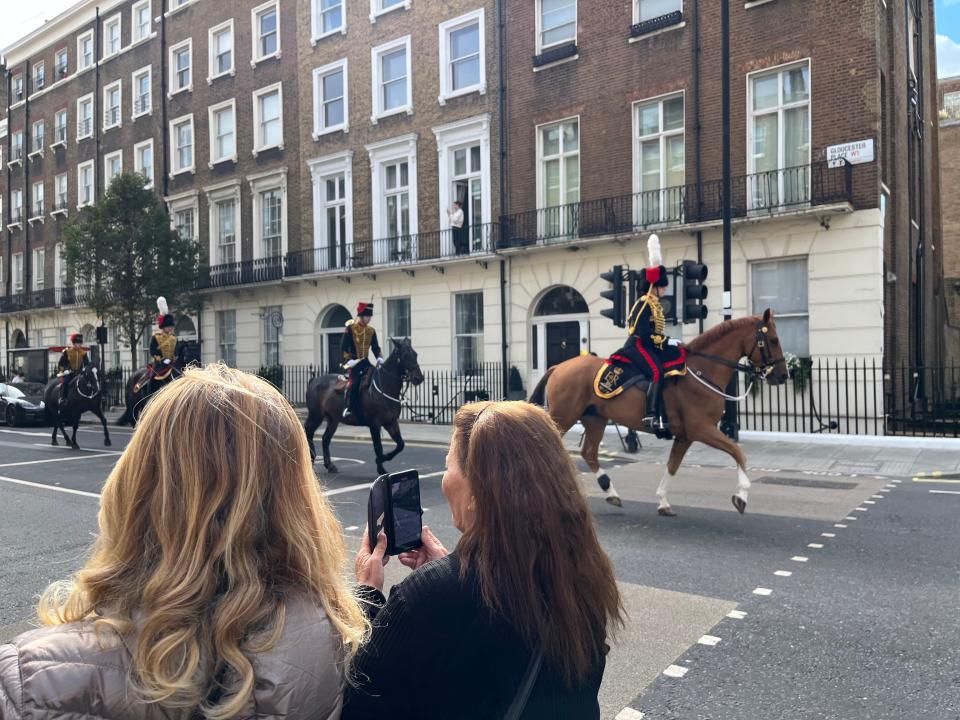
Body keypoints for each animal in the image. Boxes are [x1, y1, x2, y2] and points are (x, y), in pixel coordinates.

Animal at [306, 338, 426, 476]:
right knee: (308, 431)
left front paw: (384, 458)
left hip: (333, 419)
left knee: (325, 439)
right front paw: (381, 467)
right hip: (316, 416)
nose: (419, 378)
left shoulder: (391, 422)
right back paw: (311, 458)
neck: (384, 386)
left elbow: (400, 444)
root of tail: (314, 380)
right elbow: (378, 447)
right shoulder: (374, 424)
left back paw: (330, 465)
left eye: (415, 354)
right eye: (405, 355)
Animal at [528, 312, 792, 516]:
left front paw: (663, 501)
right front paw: (741, 496)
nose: (783, 375)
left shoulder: (686, 435)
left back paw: (609, 491)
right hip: (564, 416)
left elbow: (673, 465)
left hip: (595, 419)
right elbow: (738, 453)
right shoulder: (702, 428)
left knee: (589, 453)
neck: (703, 371)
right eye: (774, 339)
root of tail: (558, 367)